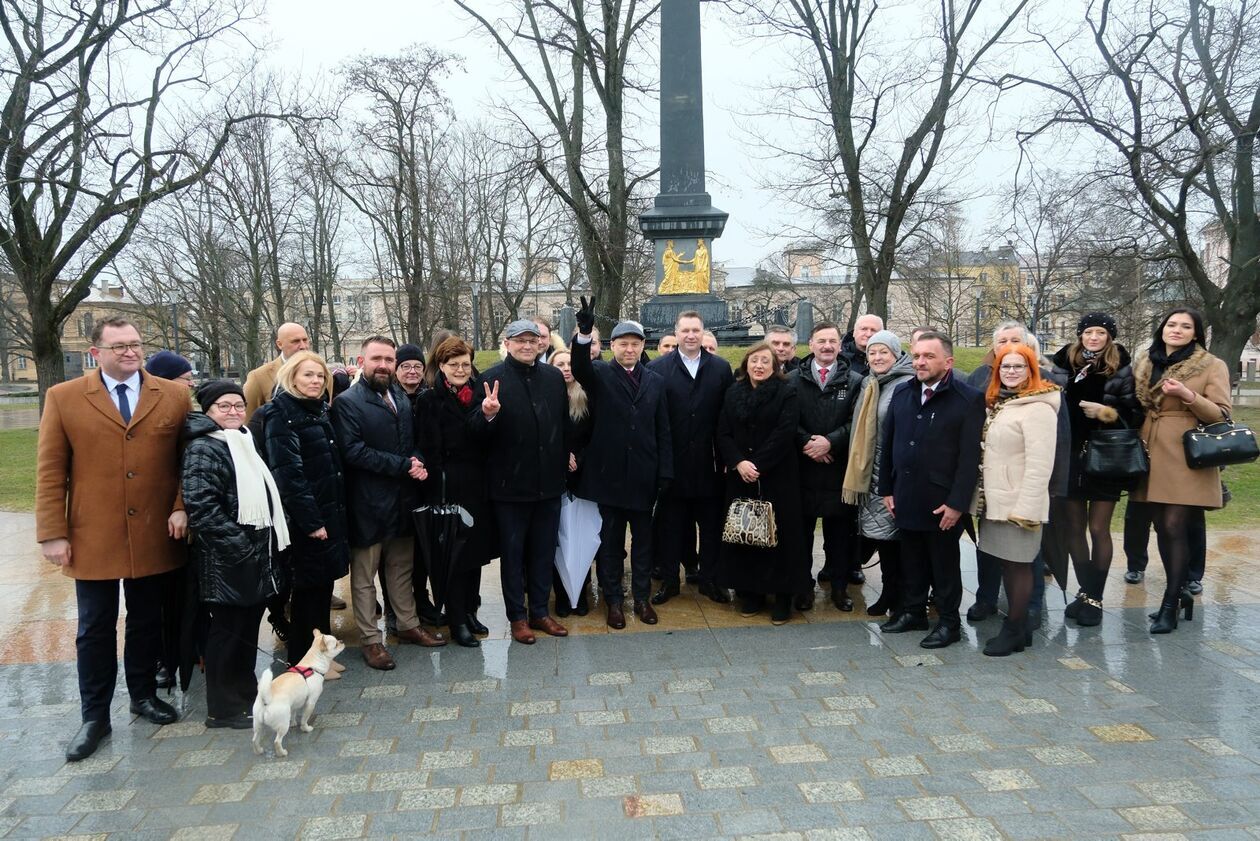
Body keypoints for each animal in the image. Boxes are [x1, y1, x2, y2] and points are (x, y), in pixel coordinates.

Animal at [252, 627, 345, 761]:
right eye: (336, 644)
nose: (342, 641)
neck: (312, 666)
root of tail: (266, 699)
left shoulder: (295, 704)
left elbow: (294, 713)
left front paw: (294, 723)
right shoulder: (311, 702)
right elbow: (304, 718)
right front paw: (305, 728)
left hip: (258, 724)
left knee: (255, 739)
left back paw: (258, 750)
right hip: (282, 724)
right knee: (277, 741)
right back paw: (282, 753)